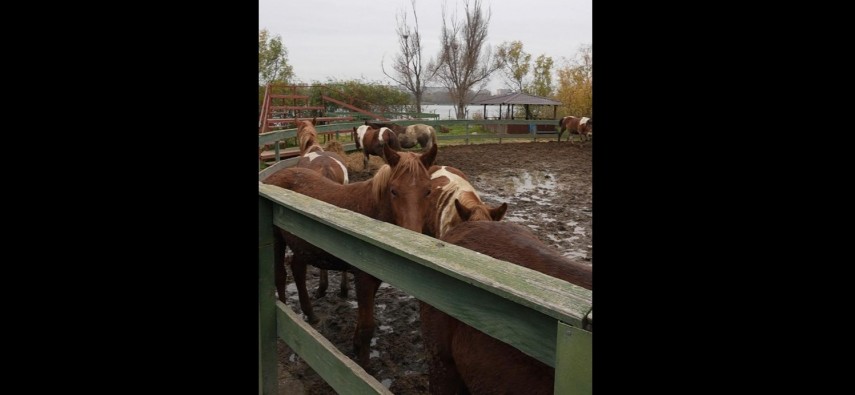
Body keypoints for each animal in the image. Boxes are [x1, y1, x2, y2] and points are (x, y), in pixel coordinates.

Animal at [262, 143, 438, 368]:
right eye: (393, 191)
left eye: (428, 191)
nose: (411, 240)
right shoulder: (362, 277)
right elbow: (367, 327)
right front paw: (364, 366)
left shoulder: (374, 278)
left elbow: (363, 321)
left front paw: (355, 346)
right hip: (278, 240)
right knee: (281, 276)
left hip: (302, 244)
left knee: (298, 271)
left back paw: (310, 315)